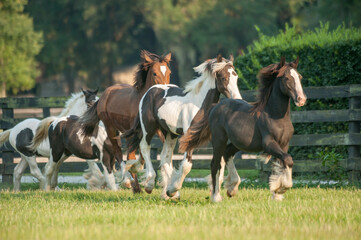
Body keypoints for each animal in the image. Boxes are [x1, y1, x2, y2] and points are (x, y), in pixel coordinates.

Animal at [79, 49, 171, 192]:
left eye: (169, 72)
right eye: (155, 73)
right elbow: (131, 156)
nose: (165, 92)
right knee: (118, 152)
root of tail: (105, 94)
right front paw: (139, 184)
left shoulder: (157, 131)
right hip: (111, 129)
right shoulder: (133, 133)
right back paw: (129, 183)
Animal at [124, 54, 242, 199]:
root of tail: (150, 91)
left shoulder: (214, 136)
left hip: (170, 133)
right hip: (148, 128)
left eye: (236, 77)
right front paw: (173, 189)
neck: (200, 105)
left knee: (165, 157)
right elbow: (186, 165)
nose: (238, 99)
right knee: (145, 147)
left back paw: (169, 194)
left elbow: (221, 160)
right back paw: (151, 185)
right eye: (224, 78)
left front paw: (228, 189)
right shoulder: (188, 136)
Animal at [179, 57, 306, 202]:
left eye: (299, 77)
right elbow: (288, 160)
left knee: (227, 154)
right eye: (286, 78)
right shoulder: (269, 144)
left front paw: (277, 194)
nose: (301, 99)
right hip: (219, 140)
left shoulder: (283, 145)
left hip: (238, 143)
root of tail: (215, 107)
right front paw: (283, 188)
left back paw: (232, 188)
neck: (275, 116)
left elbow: (281, 164)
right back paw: (216, 196)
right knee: (215, 164)